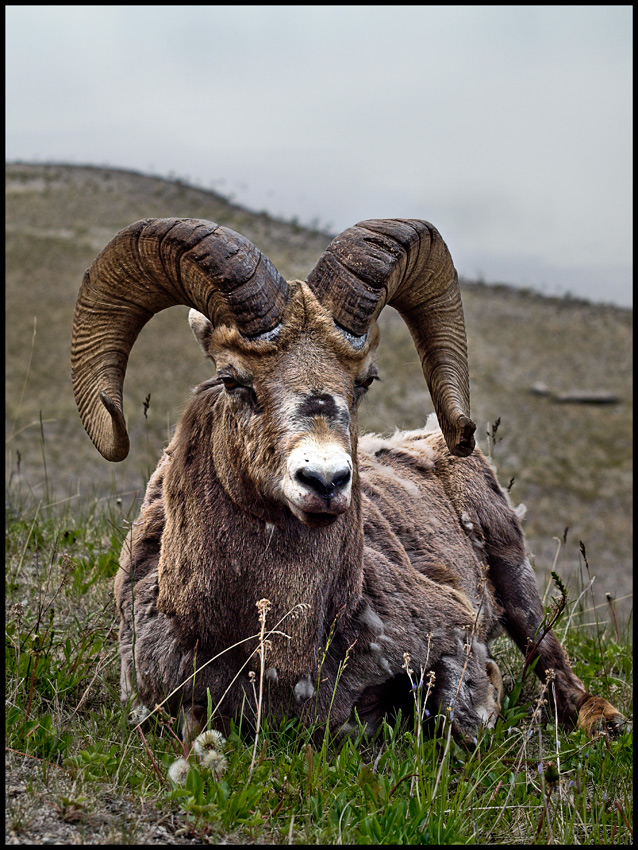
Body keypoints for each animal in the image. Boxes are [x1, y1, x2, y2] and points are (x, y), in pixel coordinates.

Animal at [71, 215, 624, 740]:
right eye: (232, 379)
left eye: (364, 381)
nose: (326, 481)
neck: (282, 661)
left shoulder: (456, 632)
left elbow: (458, 713)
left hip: (517, 579)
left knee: (554, 666)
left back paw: (605, 722)